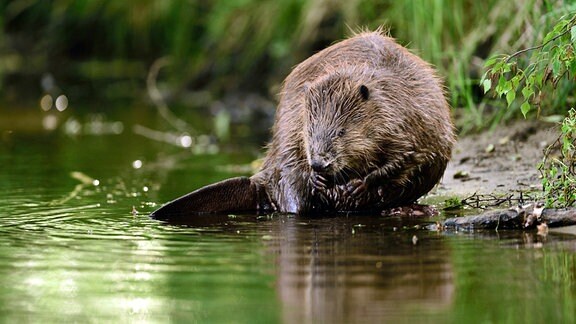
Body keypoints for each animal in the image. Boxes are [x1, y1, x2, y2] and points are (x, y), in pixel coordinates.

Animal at [151, 29, 456, 218]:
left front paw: (359, 186)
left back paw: (411, 209)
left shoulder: (407, 116)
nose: (319, 163)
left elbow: (407, 157)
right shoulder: (297, 121)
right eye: (311, 132)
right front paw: (321, 180)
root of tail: (258, 181)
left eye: (341, 131)